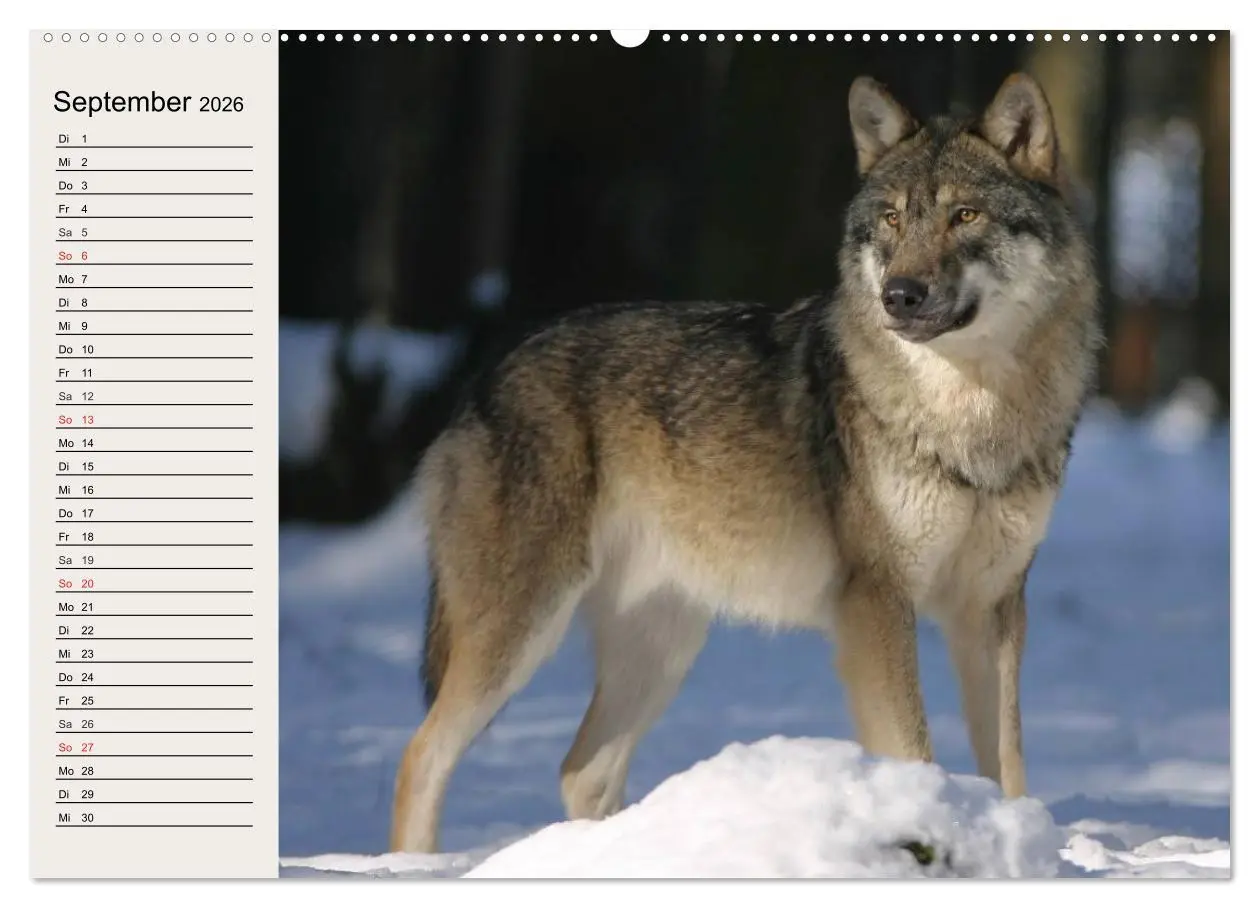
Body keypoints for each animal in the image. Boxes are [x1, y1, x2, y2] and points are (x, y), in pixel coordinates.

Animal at [390, 72, 1101, 853]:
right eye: (890, 220)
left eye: (964, 215)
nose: (899, 296)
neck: (971, 417)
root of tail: (484, 377)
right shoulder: (877, 604)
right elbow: (914, 749)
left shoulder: (993, 608)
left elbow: (1008, 765)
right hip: (522, 630)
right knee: (421, 752)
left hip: (662, 647)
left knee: (581, 770)